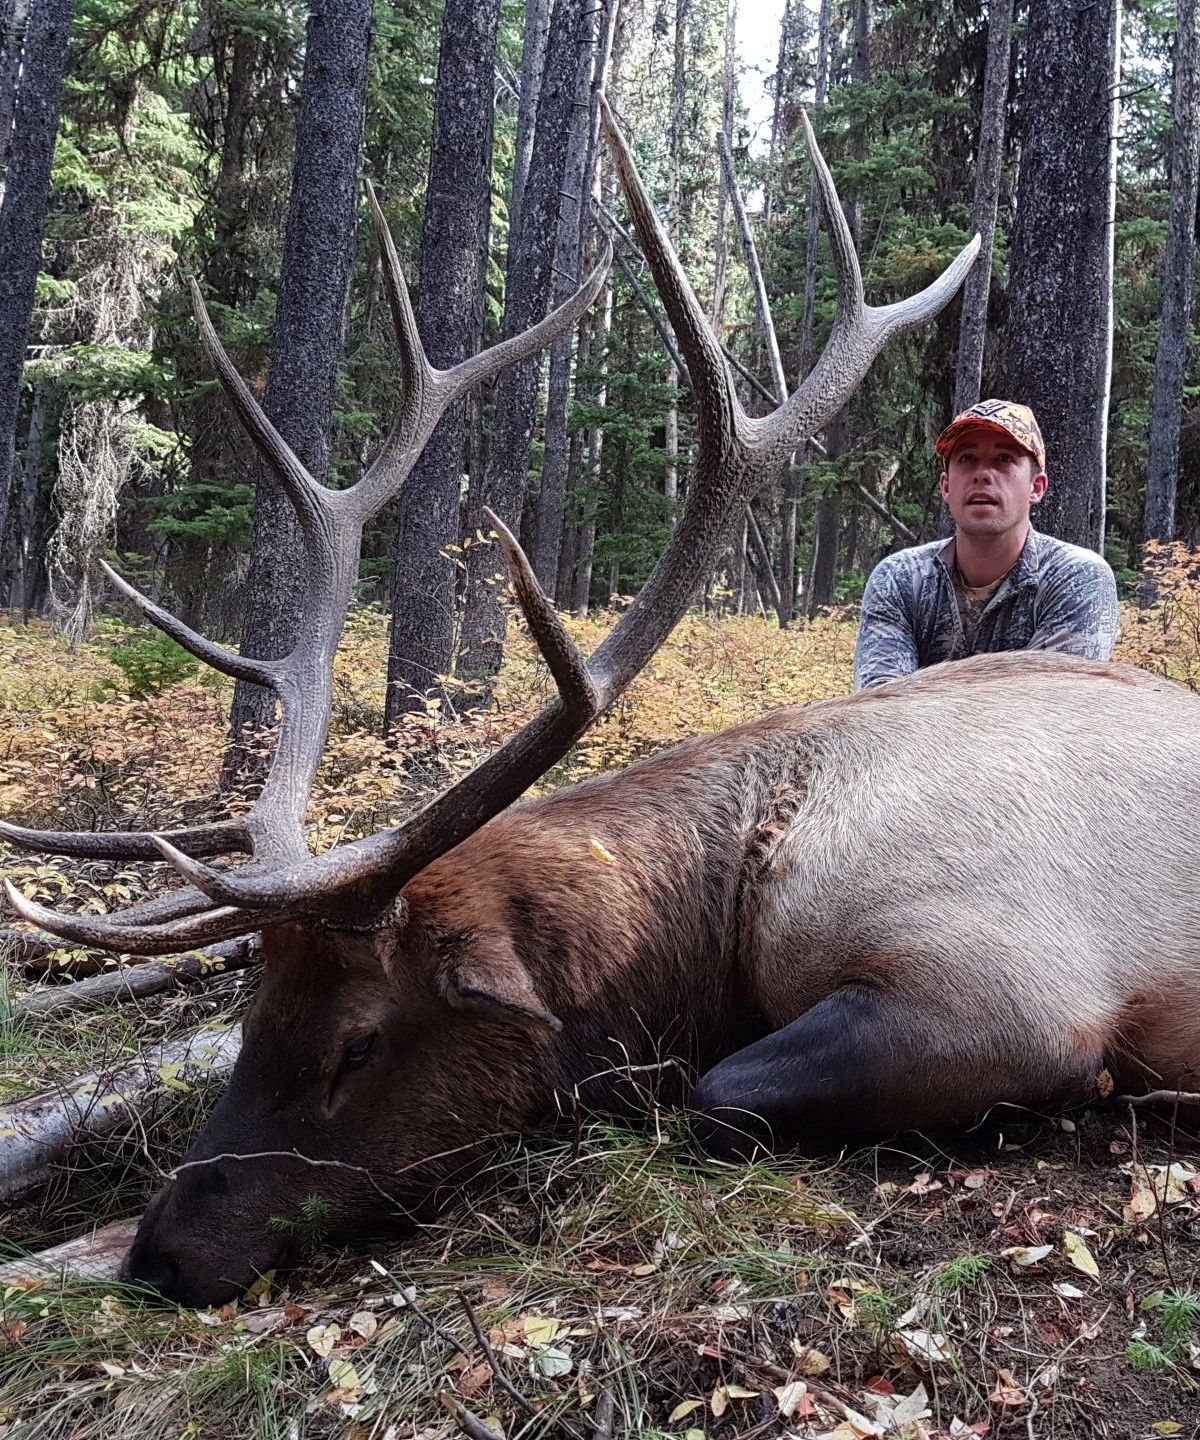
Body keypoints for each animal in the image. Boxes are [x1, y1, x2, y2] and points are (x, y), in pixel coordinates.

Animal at [6, 102, 1198, 1309]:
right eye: (252, 1018)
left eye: (359, 1043)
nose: (164, 1250)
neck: (730, 907)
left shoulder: (1013, 996)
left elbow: (715, 1091)